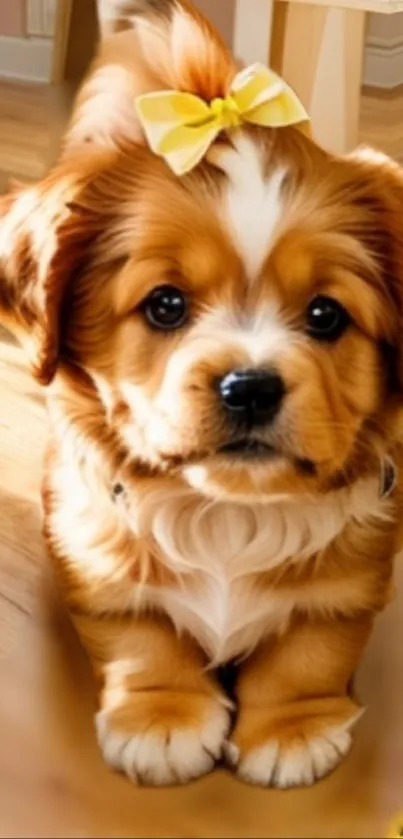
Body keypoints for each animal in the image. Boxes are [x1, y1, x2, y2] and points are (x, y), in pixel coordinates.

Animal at [0, 0, 403, 792]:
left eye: (325, 315)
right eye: (165, 305)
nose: (249, 386)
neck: (225, 515)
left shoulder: (354, 574)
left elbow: (312, 649)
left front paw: (290, 729)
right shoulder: (94, 557)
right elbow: (138, 637)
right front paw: (162, 717)